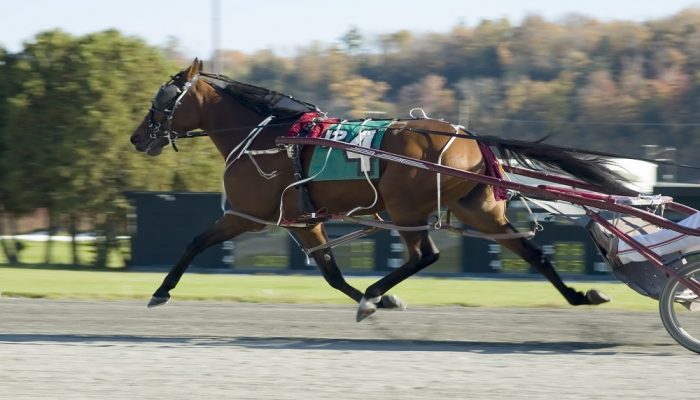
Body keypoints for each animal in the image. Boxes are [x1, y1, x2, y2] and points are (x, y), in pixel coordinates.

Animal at [130, 59, 636, 320]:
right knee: (529, 250)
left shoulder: (246, 214)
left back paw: (375, 291)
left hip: (404, 206)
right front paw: (379, 299)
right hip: (474, 208)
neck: (267, 135)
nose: (138, 137)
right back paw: (579, 296)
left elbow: (195, 242)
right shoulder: (303, 221)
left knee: (426, 254)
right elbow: (331, 273)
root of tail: (471, 137)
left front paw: (161, 291)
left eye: (161, 100)